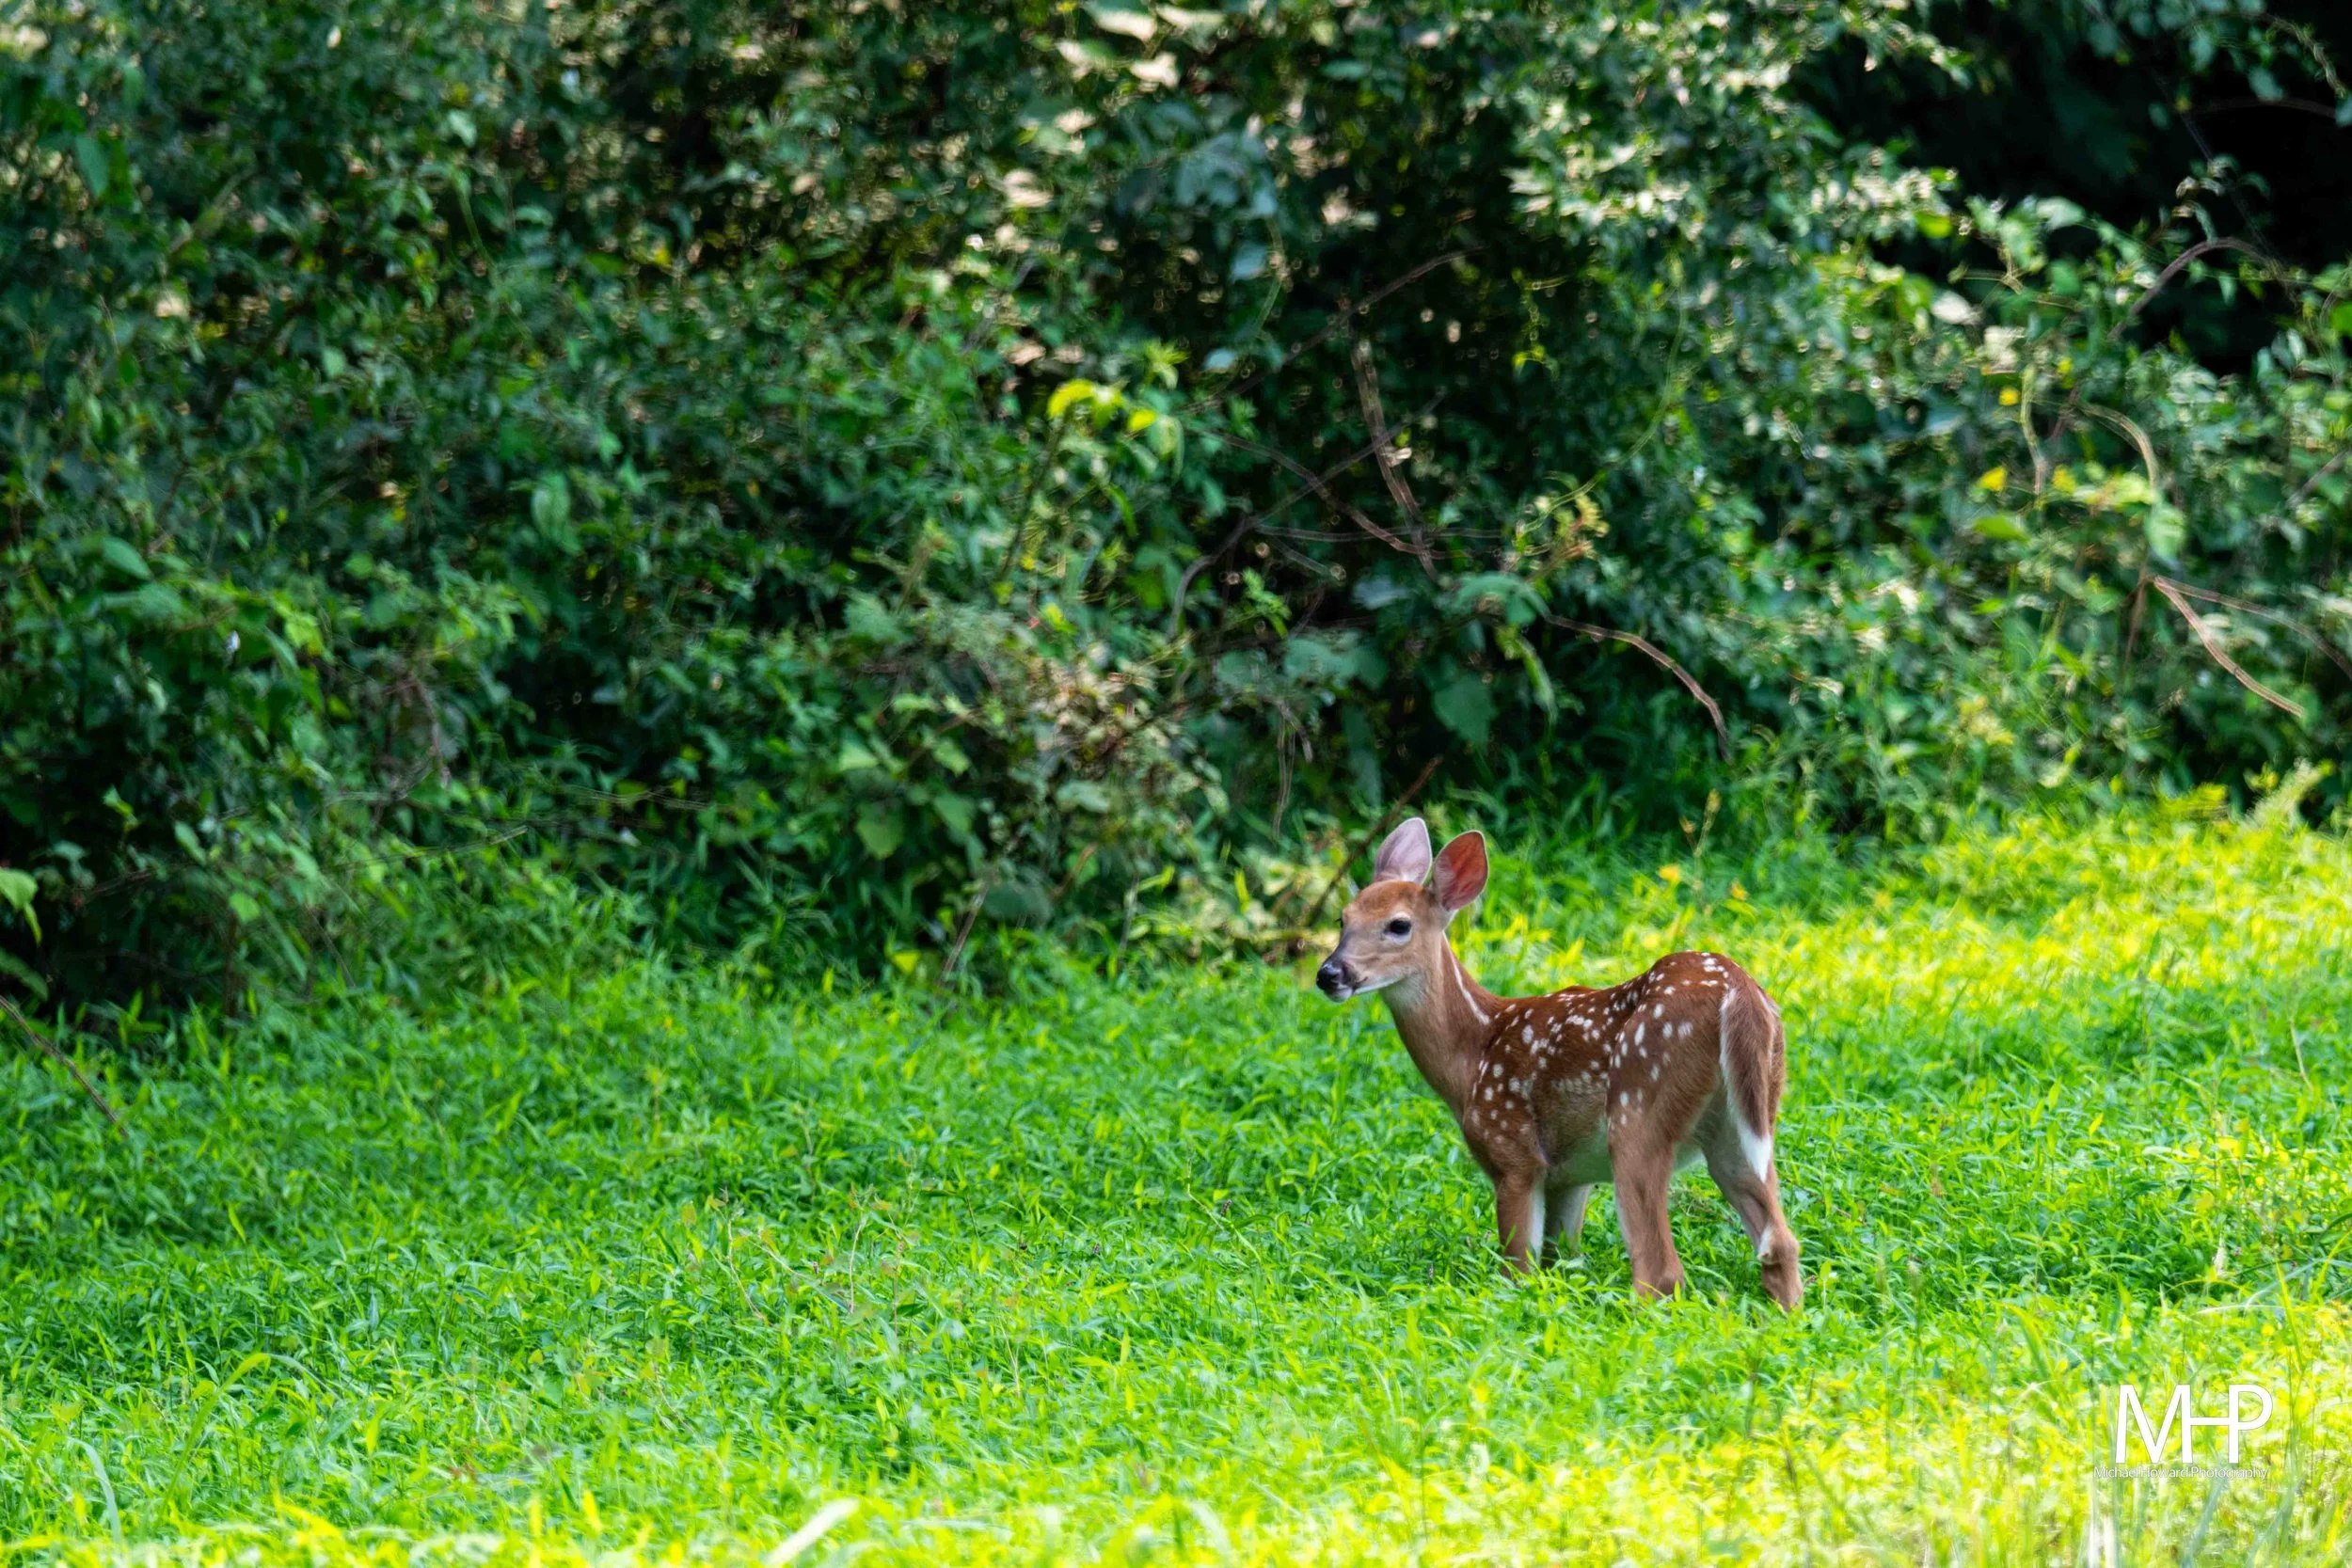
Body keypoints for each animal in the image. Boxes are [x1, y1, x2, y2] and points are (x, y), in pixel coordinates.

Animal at [1315, 818, 1801, 1309]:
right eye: (1343, 919)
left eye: (1399, 925)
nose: (1329, 974)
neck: (1474, 1053)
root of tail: (1739, 991)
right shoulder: (1570, 1176)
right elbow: (1560, 1262)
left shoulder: (1514, 1153)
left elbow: (1518, 1270)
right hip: (1744, 1120)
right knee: (1779, 1242)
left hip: (1638, 1110)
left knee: (1660, 1270)